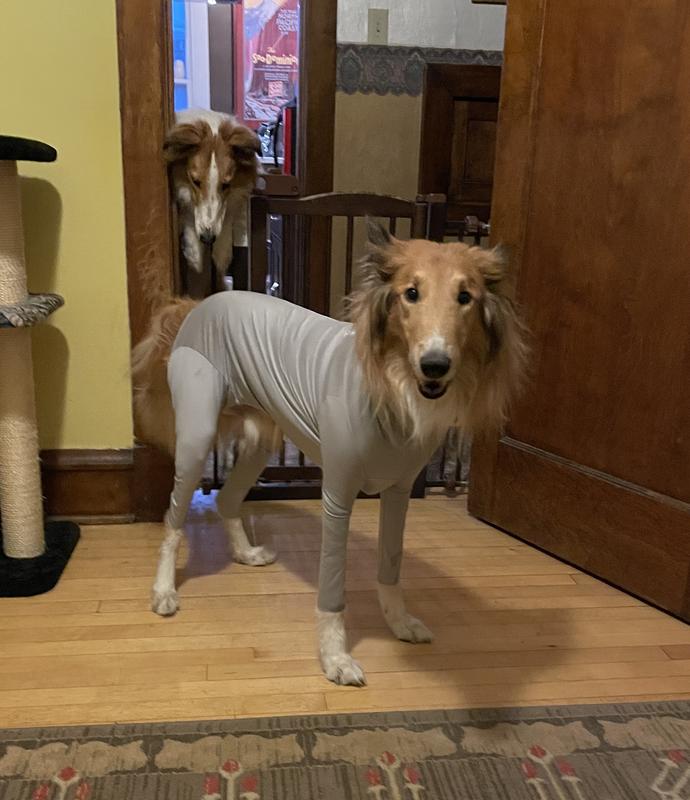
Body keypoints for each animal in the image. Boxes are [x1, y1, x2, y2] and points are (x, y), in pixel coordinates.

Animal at [131, 221, 528, 685]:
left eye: (465, 297)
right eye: (411, 293)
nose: (435, 365)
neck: (391, 389)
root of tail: (196, 304)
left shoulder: (399, 493)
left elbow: (390, 567)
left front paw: (399, 622)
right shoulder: (337, 496)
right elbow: (332, 591)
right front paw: (335, 658)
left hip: (260, 443)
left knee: (227, 500)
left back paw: (245, 554)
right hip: (196, 439)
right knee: (173, 519)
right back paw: (163, 590)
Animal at [164, 108, 262, 288]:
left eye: (226, 184)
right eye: (195, 181)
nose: (207, 239)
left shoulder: (236, 196)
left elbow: (228, 214)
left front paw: (222, 252)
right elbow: (189, 211)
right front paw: (194, 254)